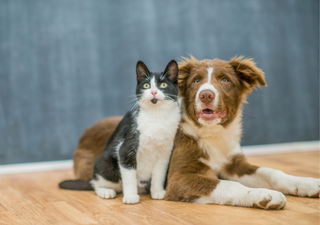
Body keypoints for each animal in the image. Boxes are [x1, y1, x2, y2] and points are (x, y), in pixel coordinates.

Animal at [59, 59, 181, 204]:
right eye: (146, 85)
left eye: (163, 85)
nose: (153, 92)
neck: (157, 117)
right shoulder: (126, 148)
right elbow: (129, 176)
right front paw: (131, 196)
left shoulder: (165, 153)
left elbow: (159, 174)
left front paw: (157, 191)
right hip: (106, 165)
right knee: (96, 184)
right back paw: (106, 191)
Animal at [164, 55, 318, 209]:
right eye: (196, 81)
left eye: (224, 80)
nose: (206, 95)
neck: (213, 133)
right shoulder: (178, 178)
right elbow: (228, 185)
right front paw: (262, 193)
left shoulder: (233, 164)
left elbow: (270, 172)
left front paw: (306, 182)